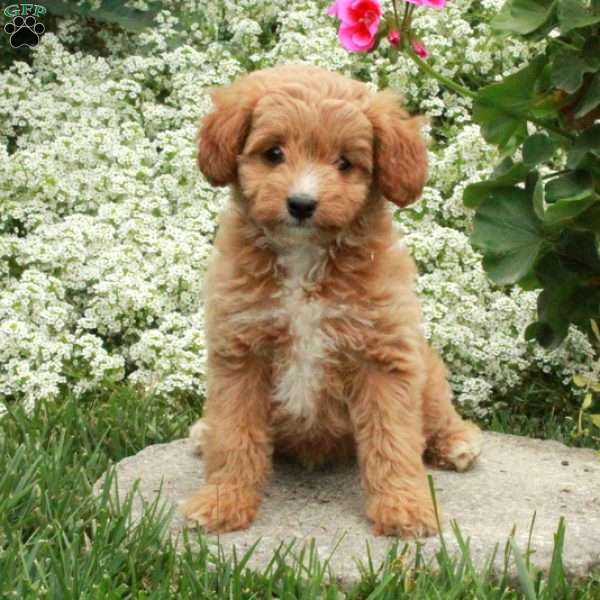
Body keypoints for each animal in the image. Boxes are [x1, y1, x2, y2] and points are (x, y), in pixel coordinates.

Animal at [184, 65, 482, 540]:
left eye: (344, 163)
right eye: (273, 153)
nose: (302, 204)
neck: (304, 257)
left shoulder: (383, 355)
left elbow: (392, 440)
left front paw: (404, 508)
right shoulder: (241, 352)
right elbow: (234, 435)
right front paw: (222, 501)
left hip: (428, 373)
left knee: (438, 415)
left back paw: (458, 443)